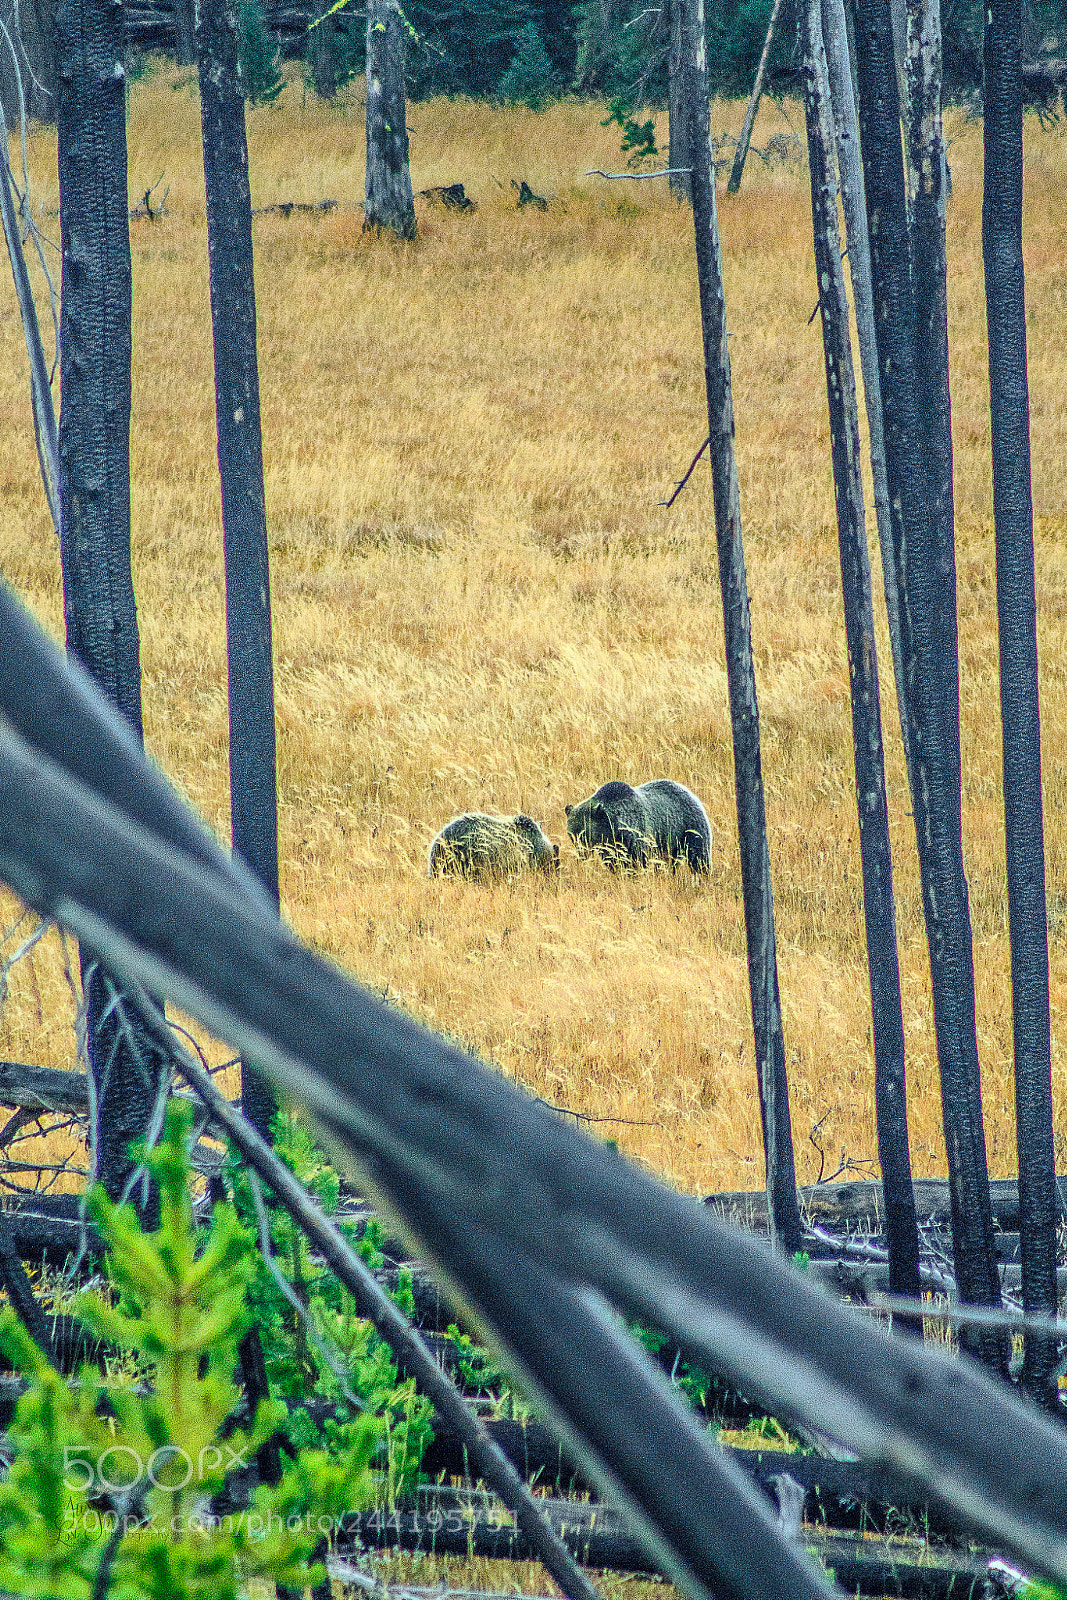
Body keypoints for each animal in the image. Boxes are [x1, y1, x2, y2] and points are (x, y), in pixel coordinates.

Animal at [565, 779, 712, 873]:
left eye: (584, 833)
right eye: (571, 835)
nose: (581, 853)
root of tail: (689, 792)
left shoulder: (636, 835)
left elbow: (638, 860)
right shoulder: (610, 847)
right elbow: (613, 862)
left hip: (689, 828)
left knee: (699, 856)